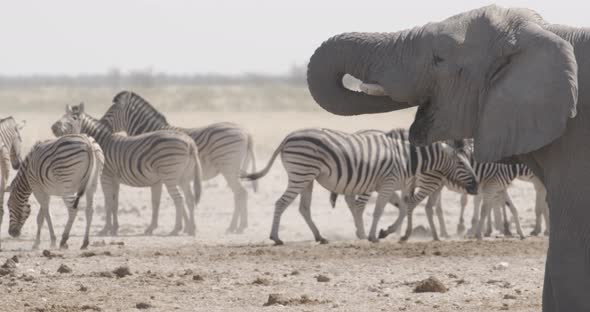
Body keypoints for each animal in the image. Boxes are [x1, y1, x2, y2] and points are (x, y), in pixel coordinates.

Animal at [51, 102, 204, 236]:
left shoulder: (105, 177)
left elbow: (108, 203)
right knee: (190, 199)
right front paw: (114, 229)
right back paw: (192, 229)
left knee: (179, 199)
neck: (100, 142)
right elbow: (115, 203)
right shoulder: (115, 180)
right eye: (62, 115)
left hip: (170, 175)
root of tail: (190, 143)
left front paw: (105, 230)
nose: (53, 127)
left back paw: (176, 230)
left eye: (74, 118)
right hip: (183, 177)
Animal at [100, 90, 258, 234]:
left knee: (240, 193)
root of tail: (246, 133)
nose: (100, 124)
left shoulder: (165, 175)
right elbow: (182, 202)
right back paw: (240, 225)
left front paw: (183, 227)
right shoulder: (174, 177)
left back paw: (236, 227)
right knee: (239, 194)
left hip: (228, 168)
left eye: (111, 111)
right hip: (237, 169)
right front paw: (188, 227)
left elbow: (173, 201)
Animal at [243, 128, 478, 245]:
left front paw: (385, 232)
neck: (406, 158)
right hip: (301, 174)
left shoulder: (388, 185)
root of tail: (287, 137)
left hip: (307, 178)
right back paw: (276, 237)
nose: (476, 187)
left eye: (468, 160)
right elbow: (378, 211)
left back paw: (320, 237)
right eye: (461, 163)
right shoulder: (388, 184)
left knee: (304, 208)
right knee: (281, 203)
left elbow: (402, 208)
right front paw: (373, 236)